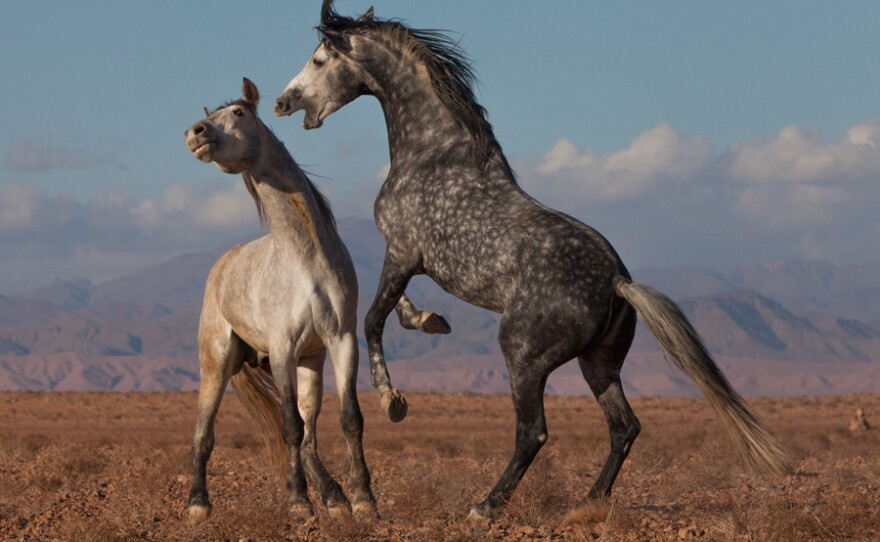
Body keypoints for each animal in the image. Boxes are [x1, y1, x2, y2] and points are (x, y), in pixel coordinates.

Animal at [184, 77, 446, 524]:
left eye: (238, 113)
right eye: (211, 116)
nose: (195, 133)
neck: (304, 263)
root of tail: (221, 267)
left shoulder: (340, 342)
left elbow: (349, 419)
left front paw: (363, 500)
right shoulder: (282, 349)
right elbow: (288, 426)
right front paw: (298, 503)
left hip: (310, 364)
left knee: (309, 435)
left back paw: (334, 496)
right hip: (217, 362)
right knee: (205, 431)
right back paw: (199, 504)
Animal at [274, 4, 792, 524]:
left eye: (319, 59)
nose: (283, 102)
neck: (434, 155)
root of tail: (617, 281)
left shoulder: (402, 251)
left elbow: (373, 320)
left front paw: (392, 399)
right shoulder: (407, 260)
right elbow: (396, 308)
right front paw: (431, 320)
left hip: (523, 355)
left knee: (534, 432)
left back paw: (485, 506)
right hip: (598, 363)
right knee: (624, 427)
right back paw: (586, 504)